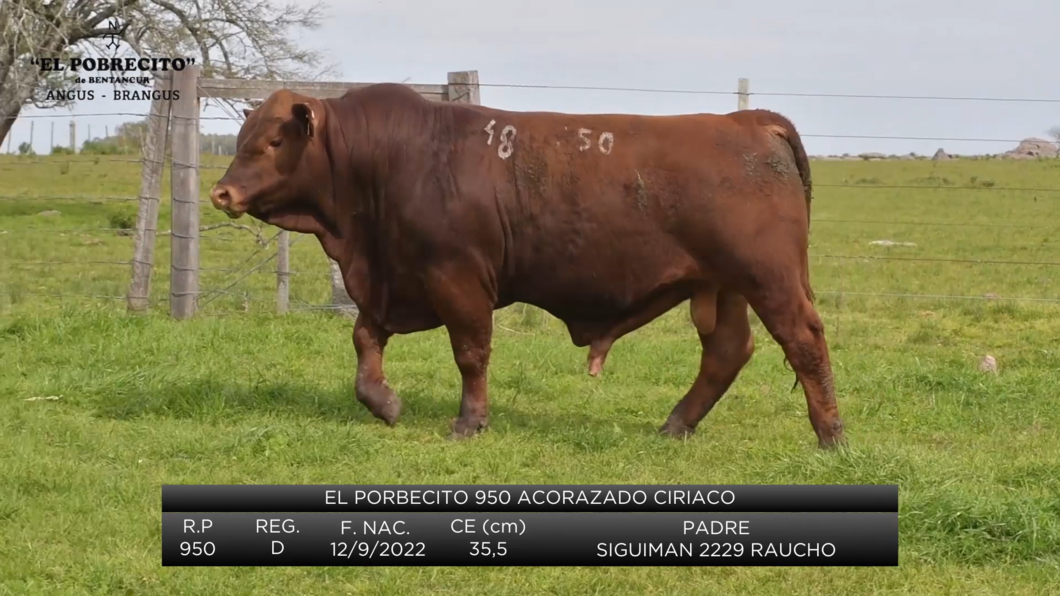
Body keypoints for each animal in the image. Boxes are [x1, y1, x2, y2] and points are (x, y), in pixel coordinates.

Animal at [213, 83, 843, 445]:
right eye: (242, 136)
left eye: (273, 142)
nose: (222, 192)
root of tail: (746, 120)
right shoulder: (395, 281)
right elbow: (364, 338)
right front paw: (384, 403)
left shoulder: (458, 277)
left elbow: (471, 353)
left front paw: (469, 422)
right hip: (722, 284)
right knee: (727, 351)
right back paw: (674, 426)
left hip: (770, 279)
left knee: (804, 342)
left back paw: (830, 435)